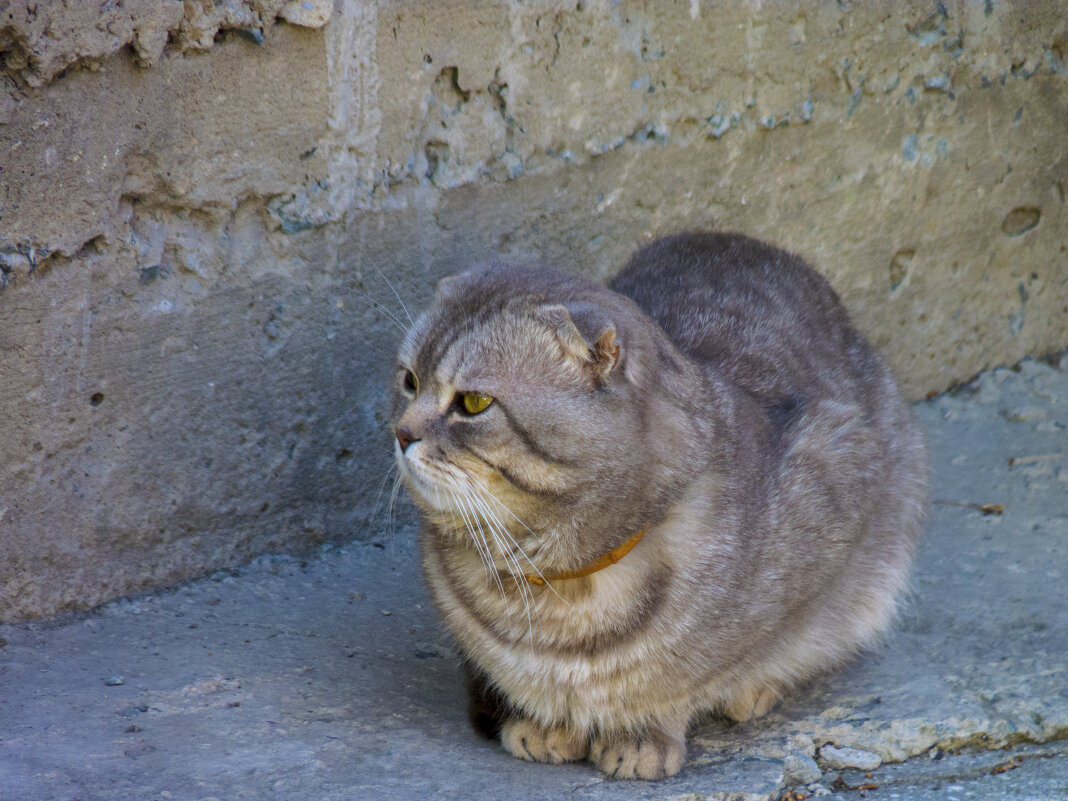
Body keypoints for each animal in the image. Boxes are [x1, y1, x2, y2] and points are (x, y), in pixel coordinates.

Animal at [390, 233, 927, 786]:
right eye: (409, 380)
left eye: (473, 403)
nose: (401, 432)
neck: (557, 584)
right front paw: (545, 723)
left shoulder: (837, 471)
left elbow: (692, 675)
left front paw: (643, 733)